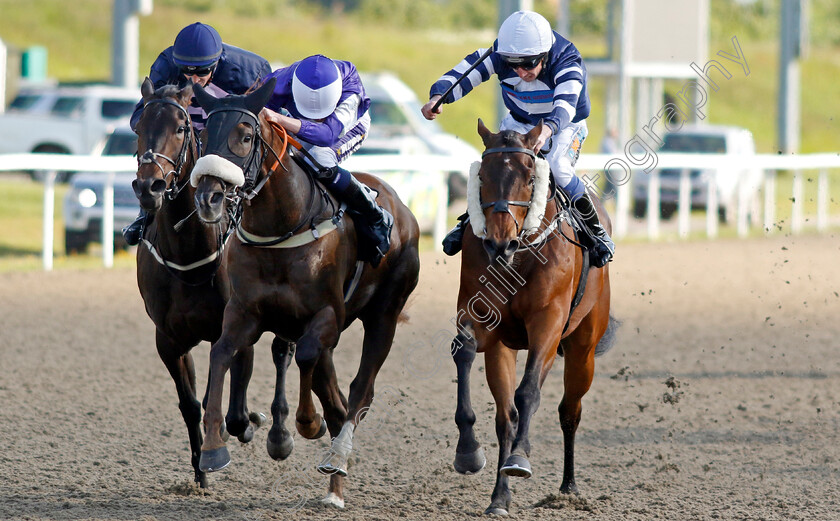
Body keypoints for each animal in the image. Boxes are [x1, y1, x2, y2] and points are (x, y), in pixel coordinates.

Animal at [131, 78, 270, 488]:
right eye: (138, 127)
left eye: (181, 128)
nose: (149, 186)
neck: (189, 256)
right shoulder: (168, 339)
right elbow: (191, 404)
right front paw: (199, 469)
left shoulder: (239, 325)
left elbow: (230, 405)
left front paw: (244, 424)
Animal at [188, 79, 420, 506]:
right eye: (204, 133)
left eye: (246, 136)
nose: (208, 198)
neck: (283, 226)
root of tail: (403, 211)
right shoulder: (245, 312)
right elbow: (221, 353)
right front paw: (213, 448)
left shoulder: (327, 315)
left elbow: (308, 358)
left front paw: (307, 424)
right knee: (336, 397)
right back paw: (335, 481)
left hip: (384, 314)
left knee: (359, 391)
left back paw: (336, 459)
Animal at [452, 120, 616, 512]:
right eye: (482, 176)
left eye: (530, 178)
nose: (500, 243)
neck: (521, 257)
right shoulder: (479, 317)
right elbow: (465, 352)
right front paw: (468, 451)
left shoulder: (548, 324)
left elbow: (528, 392)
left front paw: (520, 458)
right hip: (505, 349)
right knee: (505, 418)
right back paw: (499, 496)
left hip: (583, 350)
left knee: (569, 411)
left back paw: (568, 486)